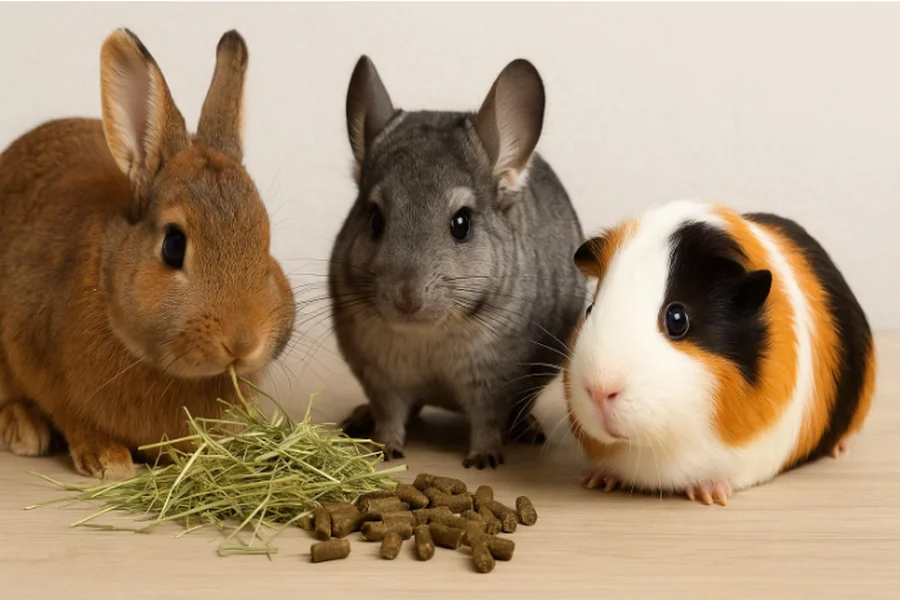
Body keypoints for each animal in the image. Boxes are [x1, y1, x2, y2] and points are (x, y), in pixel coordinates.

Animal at [0, 29, 295, 480]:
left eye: (265, 240)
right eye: (173, 245)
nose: (243, 342)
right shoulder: (39, 358)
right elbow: (73, 417)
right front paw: (107, 460)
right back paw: (23, 429)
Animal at [329, 56, 586, 469]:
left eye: (461, 224)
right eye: (375, 219)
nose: (407, 300)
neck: (429, 335)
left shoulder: (492, 380)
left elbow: (487, 421)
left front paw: (483, 460)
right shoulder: (380, 376)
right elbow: (390, 415)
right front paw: (385, 449)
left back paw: (528, 430)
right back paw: (359, 419)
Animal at [564, 199, 876, 505]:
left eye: (677, 319)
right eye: (590, 310)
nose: (600, 391)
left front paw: (710, 494)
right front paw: (599, 479)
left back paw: (839, 448)